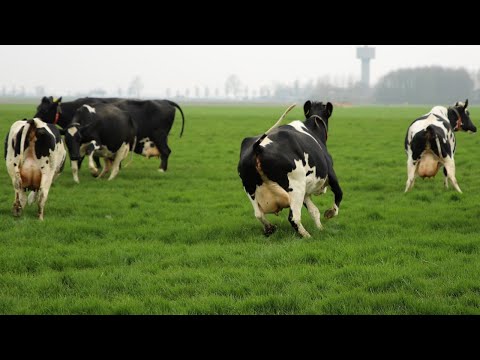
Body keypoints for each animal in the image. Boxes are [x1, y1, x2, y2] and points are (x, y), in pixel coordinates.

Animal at [33, 95, 186, 172]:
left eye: (44, 110)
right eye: (38, 107)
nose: (34, 121)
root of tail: (165, 101)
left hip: (160, 137)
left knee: (166, 151)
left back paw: (161, 169)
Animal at [238, 100, 344, 238]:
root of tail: (257, 147)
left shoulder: (306, 191)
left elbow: (314, 211)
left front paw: (320, 229)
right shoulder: (331, 174)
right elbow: (339, 194)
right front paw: (329, 214)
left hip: (250, 189)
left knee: (259, 214)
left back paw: (270, 228)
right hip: (296, 186)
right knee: (293, 217)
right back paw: (307, 236)